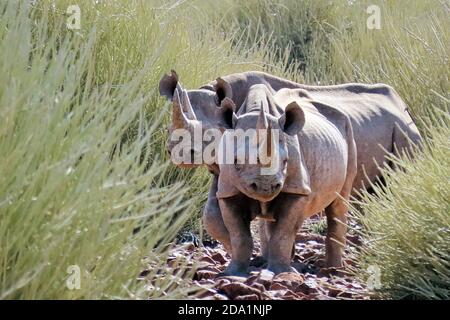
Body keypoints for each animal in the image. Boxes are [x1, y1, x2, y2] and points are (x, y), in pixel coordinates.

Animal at [216, 84, 356, 276]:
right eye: (236, 161)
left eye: (286, 161)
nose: (265, 186)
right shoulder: (227, 190)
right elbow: (239, 234)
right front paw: (233, 273)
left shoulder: (297, 188)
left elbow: (283, 232)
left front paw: (281, 272)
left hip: (349, 134)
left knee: (339, 203)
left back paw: (333, 270)